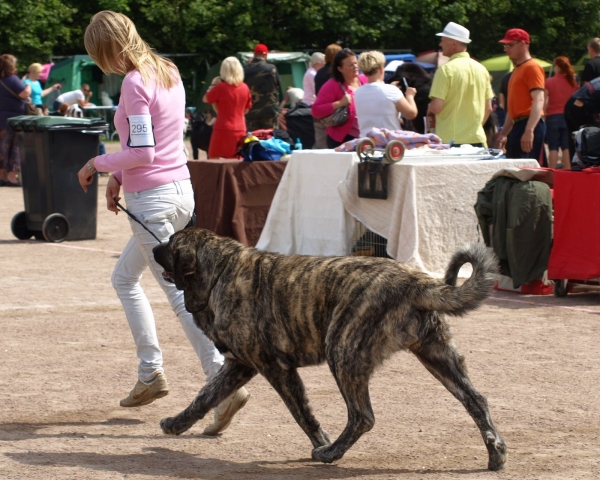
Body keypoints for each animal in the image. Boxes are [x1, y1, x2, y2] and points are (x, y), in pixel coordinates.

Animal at [154, 229, 506, 468]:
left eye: (171, 244)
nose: (155, 247)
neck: (220, 272)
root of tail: (415, 281)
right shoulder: (240, 364)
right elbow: (204, 396)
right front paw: (177, 423)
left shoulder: (275, 368)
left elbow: (302, 413)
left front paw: (320, 442)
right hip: (438, 356)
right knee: (476, 400)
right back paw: (496, 453)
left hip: (343, 352)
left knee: (362, 416)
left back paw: (331, 452)